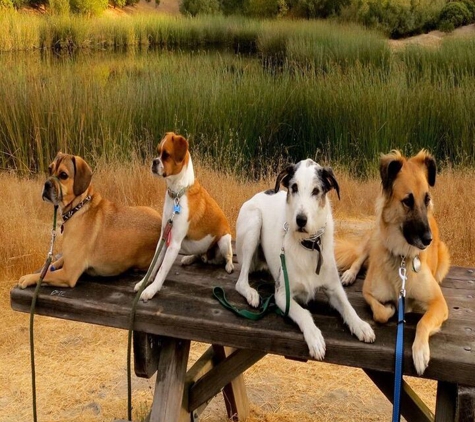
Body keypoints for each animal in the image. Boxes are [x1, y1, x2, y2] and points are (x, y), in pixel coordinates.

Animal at [17, 152, 163, 290]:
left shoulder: (68, 274)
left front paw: (29, 277)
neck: (77, 208)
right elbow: (53, 264)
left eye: (63, 175)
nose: (46, 184)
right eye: (49, 169)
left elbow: (46, 274)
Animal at [135, 132, 235, 300]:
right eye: (157, 152)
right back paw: (190, 258)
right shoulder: (164, 237)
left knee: (228, 256)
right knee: (200, 255)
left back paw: (229, 265)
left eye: (166, 155)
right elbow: (153, 265)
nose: (154, 161)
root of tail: (210, 257)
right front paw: (144, 282)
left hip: (224, 240)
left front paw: (151, 290)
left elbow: (162, 269)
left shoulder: (174, 243)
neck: (177, 193)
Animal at [334, 150, 450, 374]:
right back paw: (349, 274)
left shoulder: (439, 303)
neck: (402, 258)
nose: (428, 240)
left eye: (427, 199)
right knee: (360, 257)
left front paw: (420, 351)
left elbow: (423, 322)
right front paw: (389, 309)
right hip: (373, 237)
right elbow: (380, 312)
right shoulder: (368, 293)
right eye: (407, 201)